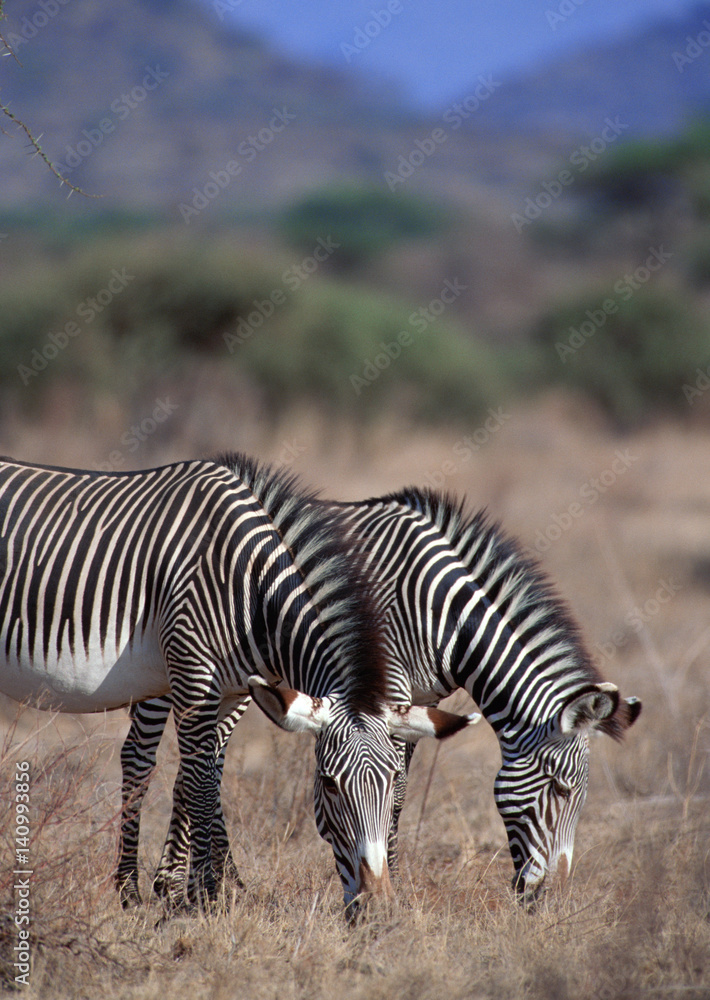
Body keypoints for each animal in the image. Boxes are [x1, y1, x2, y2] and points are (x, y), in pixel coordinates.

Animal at [0, 455, 475, 913]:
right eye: (327, 784)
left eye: (393, 781)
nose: (377, 907)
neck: (249, 588)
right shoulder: (193, 675)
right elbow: (200, 783)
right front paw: (204, 897)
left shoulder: (229, 691)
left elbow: (208, 774)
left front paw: (197, 891)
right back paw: (134, 891)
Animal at [117, 485, 641, 906]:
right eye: (561, 790)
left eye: (581, 797)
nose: (554, 900)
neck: (443, 613)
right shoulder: (386, 686)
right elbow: (395, 789)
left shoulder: (416, 702)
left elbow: (398, 789)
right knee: (142, 754)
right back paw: (156, 886)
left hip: (238, 678)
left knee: (205, 761)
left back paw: (215, 883)